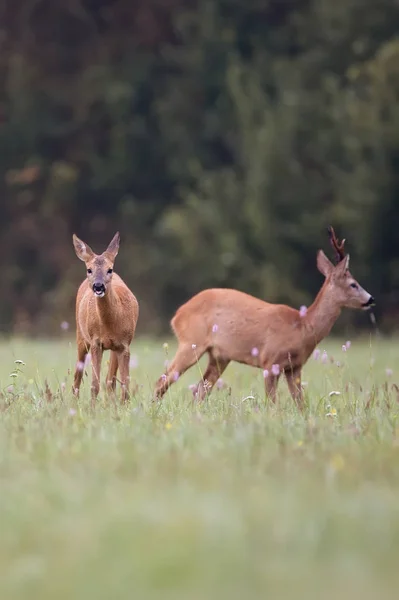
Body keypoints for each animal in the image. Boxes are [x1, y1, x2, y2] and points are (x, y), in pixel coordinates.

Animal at [72, 232, 140, 406]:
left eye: (110, 269)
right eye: (89, 269)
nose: (98, 286)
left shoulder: (124, 345)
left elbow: (125, 384)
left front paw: (124, 407)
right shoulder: (96, 342)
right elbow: (94, 385)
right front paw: (92, 408)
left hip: (114, 348)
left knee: (110, 380)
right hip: (81, 336)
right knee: (77, 375)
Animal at [155, 227, 376, 410]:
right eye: (353, 284)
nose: (371, 299)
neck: (302, 327)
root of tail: (177, 315)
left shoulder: (294, 367)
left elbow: (300, 403)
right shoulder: (270, 360)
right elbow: (272, 402)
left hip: (219, 356)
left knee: (200, 390)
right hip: (191, 343)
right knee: (163, 380)